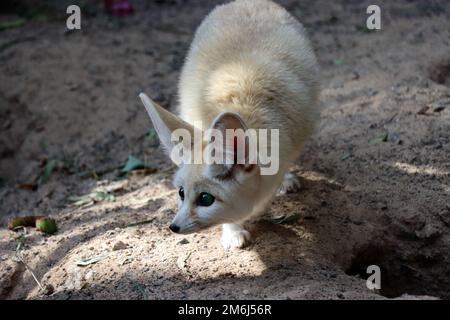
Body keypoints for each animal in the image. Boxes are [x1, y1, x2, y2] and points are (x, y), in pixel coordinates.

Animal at [141, 0, 320, 250]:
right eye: (181, 193)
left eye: (206, 199)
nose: (173, 227)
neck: (243, 106)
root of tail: (247, 1)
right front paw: (233, 231)